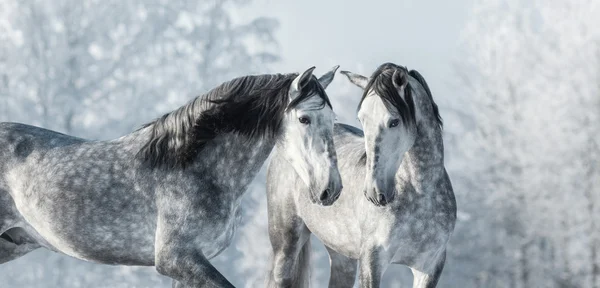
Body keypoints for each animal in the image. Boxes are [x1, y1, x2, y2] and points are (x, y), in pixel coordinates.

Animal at [0, 66, 342, 286]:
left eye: (333, 119)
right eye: (304, 118)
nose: (332, 190)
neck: (190, 166)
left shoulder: (193, 262)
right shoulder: (175, 259)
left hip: (14, 244)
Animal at [264, 63, 458, 288]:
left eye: (394, 121)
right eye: (362, 119)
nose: (375, 192)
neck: (420, 194)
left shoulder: (429, 266)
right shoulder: (372, 260)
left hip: (342, 256)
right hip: (285, 244)